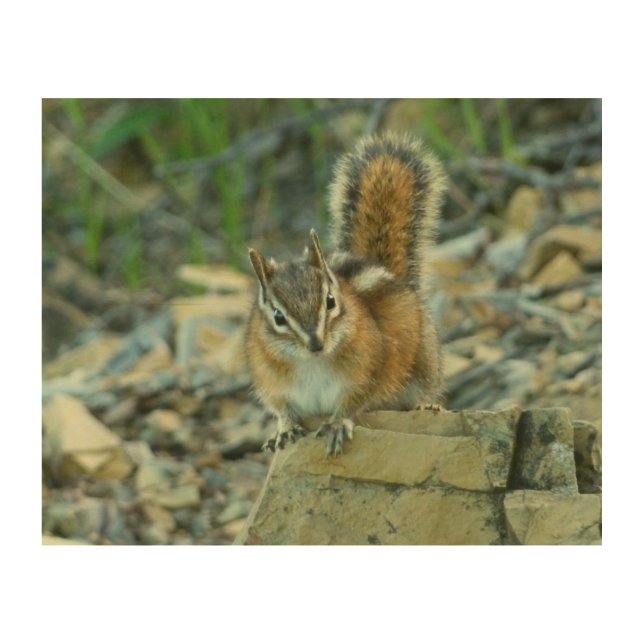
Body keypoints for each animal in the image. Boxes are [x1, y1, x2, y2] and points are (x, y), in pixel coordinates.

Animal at [246, 132, 447, 456]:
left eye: (330, 301)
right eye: (278, 316)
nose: (316, 344)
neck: (311, 363)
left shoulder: (367, 371)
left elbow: (353, 402)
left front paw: (338, 424)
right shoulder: (272, 383)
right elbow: (282, 409)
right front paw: (284, 429)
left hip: (425, 363)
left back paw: (427, 406)